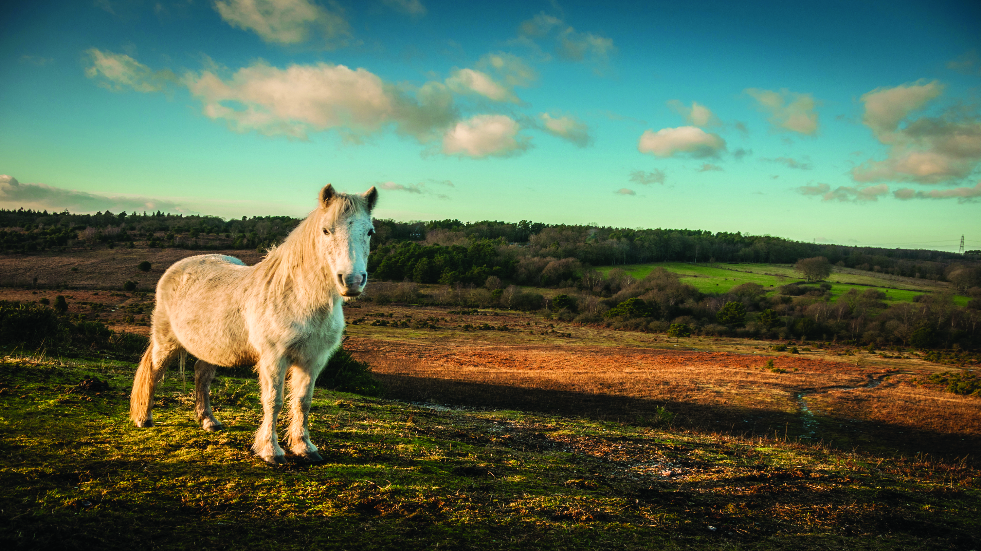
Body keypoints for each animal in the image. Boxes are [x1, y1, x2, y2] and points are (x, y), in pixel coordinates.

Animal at [130, 185, 376, 466]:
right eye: (326, 230)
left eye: (370, 231)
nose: (352, 280)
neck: (297, 296)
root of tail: (175, 269)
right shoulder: (274, 358)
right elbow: (273, 401)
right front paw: (270, 451)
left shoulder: (312, 360)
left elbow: (302, 402)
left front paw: (305, 447)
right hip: (166, 342)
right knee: (154, 371)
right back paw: (144, 419)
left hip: (210, 347)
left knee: (202, 375)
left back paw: (209, 421)